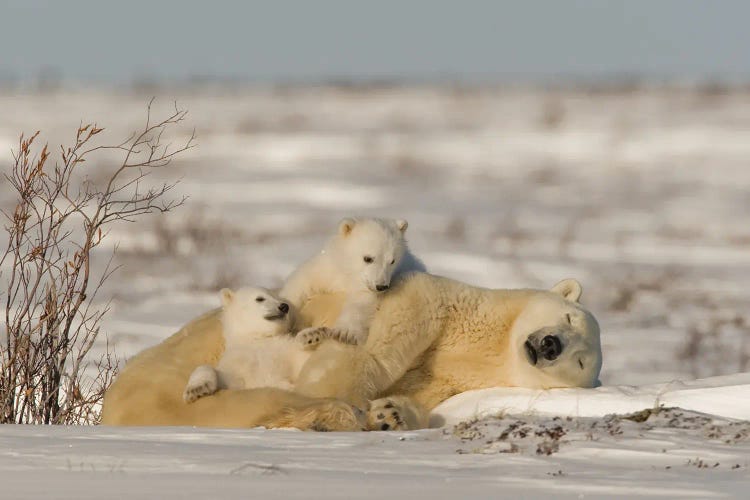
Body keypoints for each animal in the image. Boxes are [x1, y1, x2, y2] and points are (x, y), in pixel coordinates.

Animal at [101, 274, 604, 430]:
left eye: (581, 360)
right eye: (569, 318)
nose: (550, 345)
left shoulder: (450, 382)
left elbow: (419, 399)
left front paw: (390, 414)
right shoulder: (434, 298)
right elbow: (372, 348)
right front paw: (349, 400)